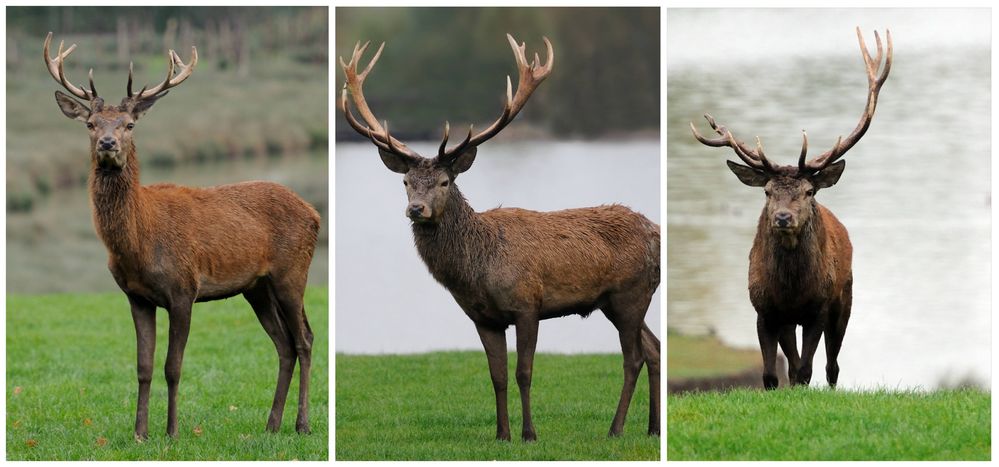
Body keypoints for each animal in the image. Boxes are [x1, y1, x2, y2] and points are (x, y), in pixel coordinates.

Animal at [45, 33, 320, 438]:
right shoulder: (136, 297)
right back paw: (271, 425)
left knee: (304, 339)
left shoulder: (183, 289)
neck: (138, 245)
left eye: (129, 124)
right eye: (91, 123)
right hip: (256, 286)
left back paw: (301, 424)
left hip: (292, 272)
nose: (108, 144)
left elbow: (172, 366)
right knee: (284, 344)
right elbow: (143, 367)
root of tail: (315, 213)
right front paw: (140, 432)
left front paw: (172, 431)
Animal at [340, 34, 660, 440]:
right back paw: (652, 428)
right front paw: (502, 434)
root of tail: (657, 233)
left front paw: (529, 434)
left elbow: (524, 372)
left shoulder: (527, 304)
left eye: (444, 182)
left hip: (630, 293)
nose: (417, 209)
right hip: (615, 302)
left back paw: (616, 429)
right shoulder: (484, 318)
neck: (477, 271)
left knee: (633, 357)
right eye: (406, 182)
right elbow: (497, 377)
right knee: (654, 348)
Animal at [692, 28, 896, 392]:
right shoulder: (765, 310)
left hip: (845, 297)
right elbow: (773, 374)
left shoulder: (818, 308)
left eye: (808, 191)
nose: (783, 217)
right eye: (768, 192)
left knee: (832, 365)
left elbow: (806, 369)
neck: (791, 291)